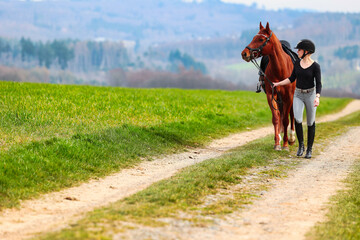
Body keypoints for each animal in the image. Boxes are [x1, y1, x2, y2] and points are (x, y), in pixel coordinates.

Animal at [242, 22, 296, 150]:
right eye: (253, 37)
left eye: (261, 39)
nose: (244, 53)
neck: (281, 69)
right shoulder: (271, 95)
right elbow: (276, 118)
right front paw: (277, 143)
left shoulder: (289, 96)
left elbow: (286, 120)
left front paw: (286, 144)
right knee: (279, 114)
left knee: (291, 114)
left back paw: (291, 138)